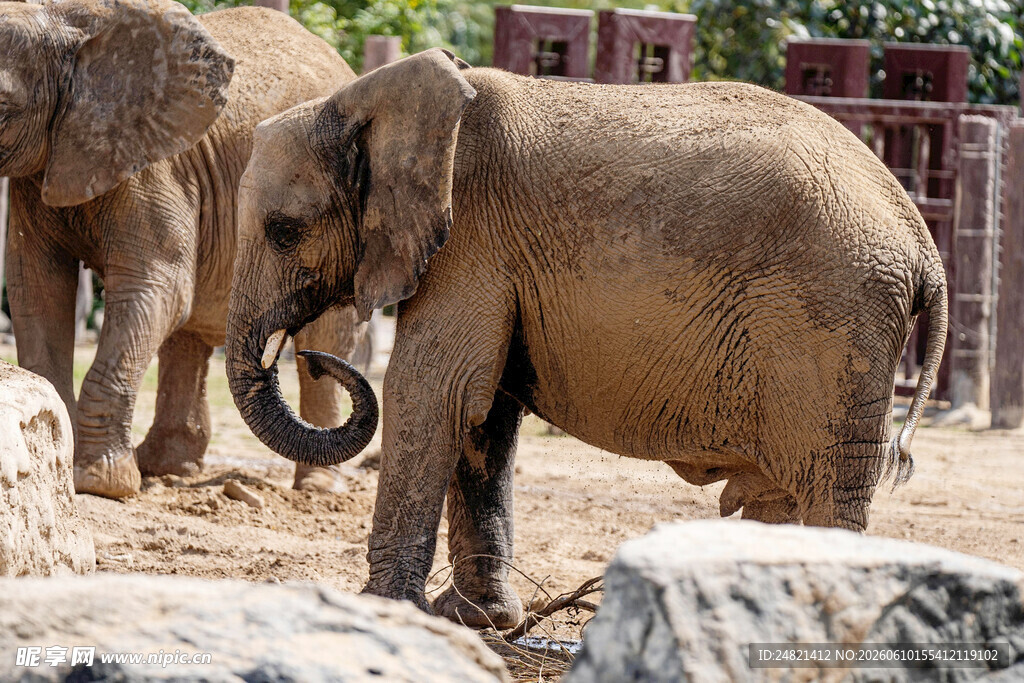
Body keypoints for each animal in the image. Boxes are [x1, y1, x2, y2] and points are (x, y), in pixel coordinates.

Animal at [0, 0, 376, 498]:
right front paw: (65, 467)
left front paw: (98, 484)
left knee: (323, 338)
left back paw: (316, 489)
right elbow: (37, 288)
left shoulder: (155, 165)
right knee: (189, 333)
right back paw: (166, 469)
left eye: (2, 106)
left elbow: (154, 288)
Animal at [225, 50, 947, 628]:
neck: (368, 99)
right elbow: (483, 413)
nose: (312, 354)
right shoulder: (494, 256)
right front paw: (478, 620)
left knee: (827, 489)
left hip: (835, 323)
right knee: (782, 495)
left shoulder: (470, 240)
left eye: (284, 230)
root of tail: (924, 246)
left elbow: (434, 393)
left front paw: (386, 612)